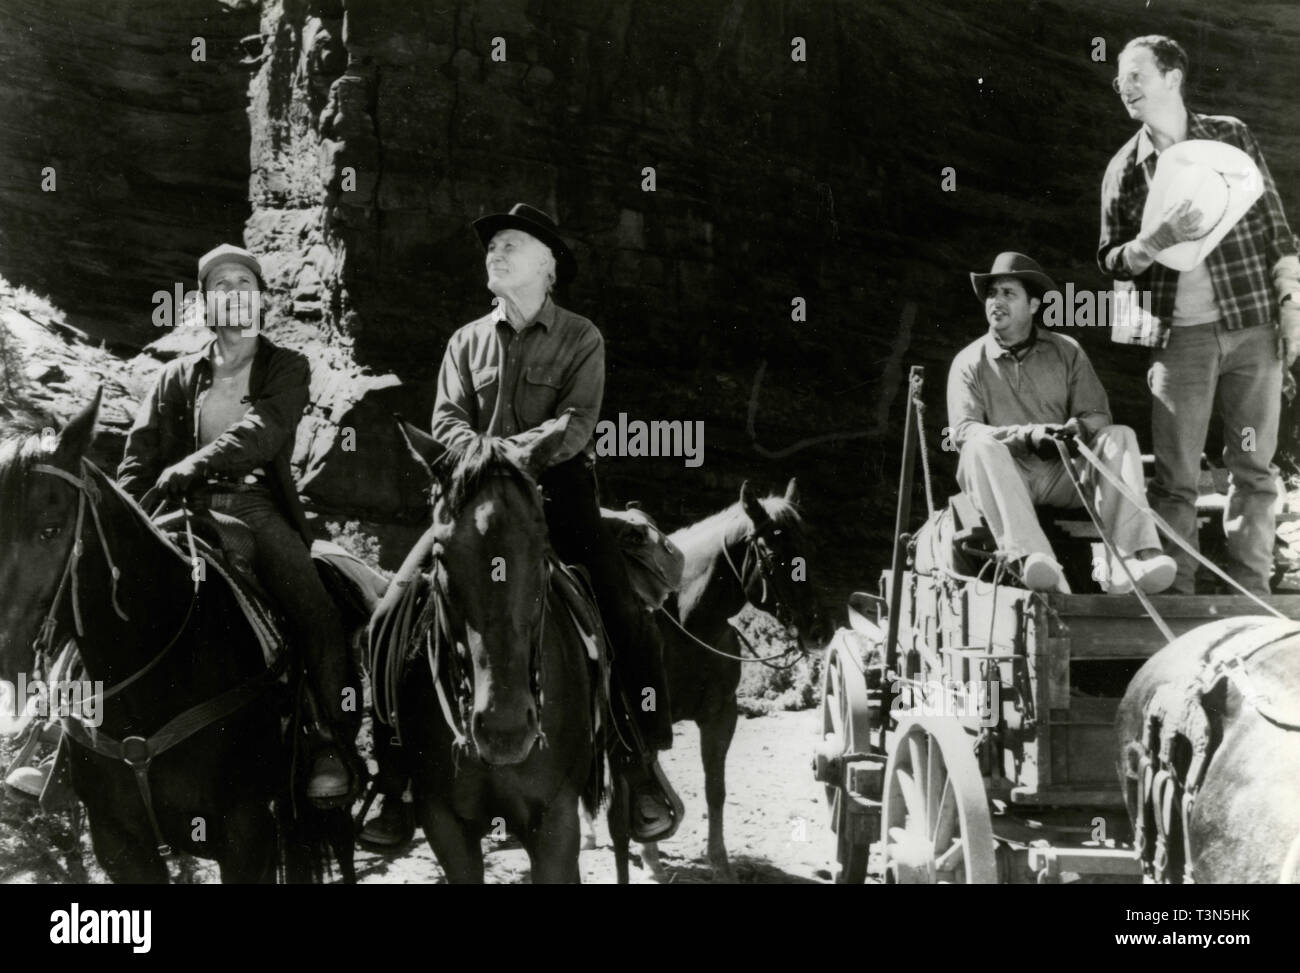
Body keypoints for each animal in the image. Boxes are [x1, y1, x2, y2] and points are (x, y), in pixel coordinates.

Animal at [608, 478, 821, 879]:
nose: (819, 630)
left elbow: (715, 789)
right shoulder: (645, 720)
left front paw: (720, 863)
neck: (688, 624)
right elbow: (642, 778)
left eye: (809, 549)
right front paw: (650, 857)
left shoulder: (721, 715)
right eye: (775, 555)